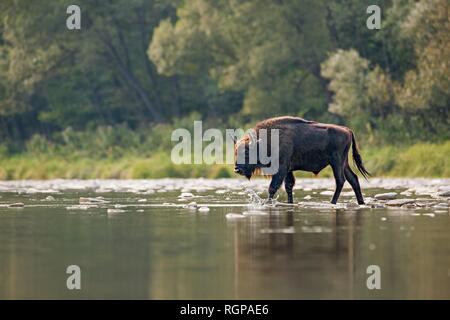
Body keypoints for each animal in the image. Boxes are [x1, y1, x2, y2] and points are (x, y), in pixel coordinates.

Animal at [234, 117, 370, 205]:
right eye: (235, 152)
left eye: (246, 152)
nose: (237, 169)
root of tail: (347, 130)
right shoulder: (288, 171)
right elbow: (289, 186)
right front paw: (290, 202)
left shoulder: (281, 169)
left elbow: (273, 187)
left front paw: (268, 202)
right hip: (344, 164)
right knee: (353, 179)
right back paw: (361, 202)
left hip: (336, 162)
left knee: (340, 180)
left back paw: (332, 202)